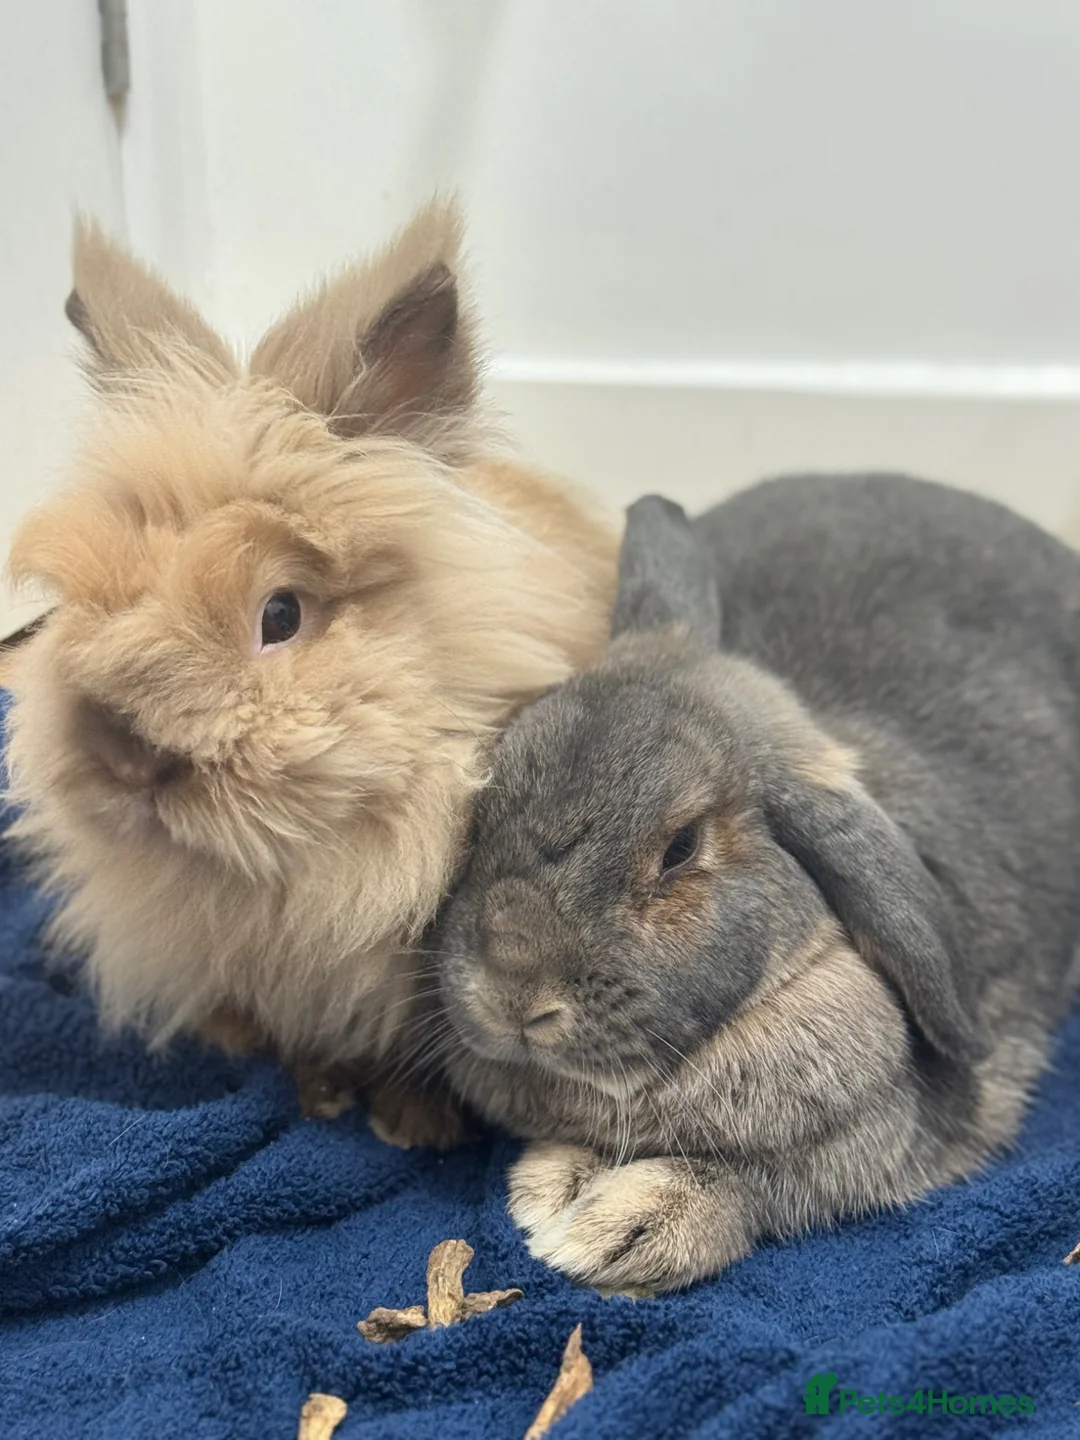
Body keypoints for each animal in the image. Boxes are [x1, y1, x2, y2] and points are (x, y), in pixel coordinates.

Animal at [437, 474, 1080, 1289]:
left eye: (681, 847)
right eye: (491, 793)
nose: (510, 995)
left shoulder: (870, 1155)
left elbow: (765, 1183)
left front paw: (621, 1226)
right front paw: (552, 1185)